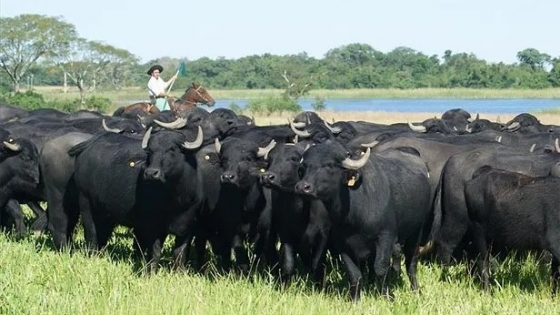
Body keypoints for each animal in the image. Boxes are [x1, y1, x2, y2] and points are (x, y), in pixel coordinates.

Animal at [296, 143, 430, 302]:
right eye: (304, 167)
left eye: (329, 165)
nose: (303, 187)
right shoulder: (342, 243)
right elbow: (354, 273)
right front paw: (355, 299)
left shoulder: (385, 237)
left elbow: (380, 268)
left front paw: (387, 296)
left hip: (417, 231)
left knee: (411, 262)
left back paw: (416, 291)